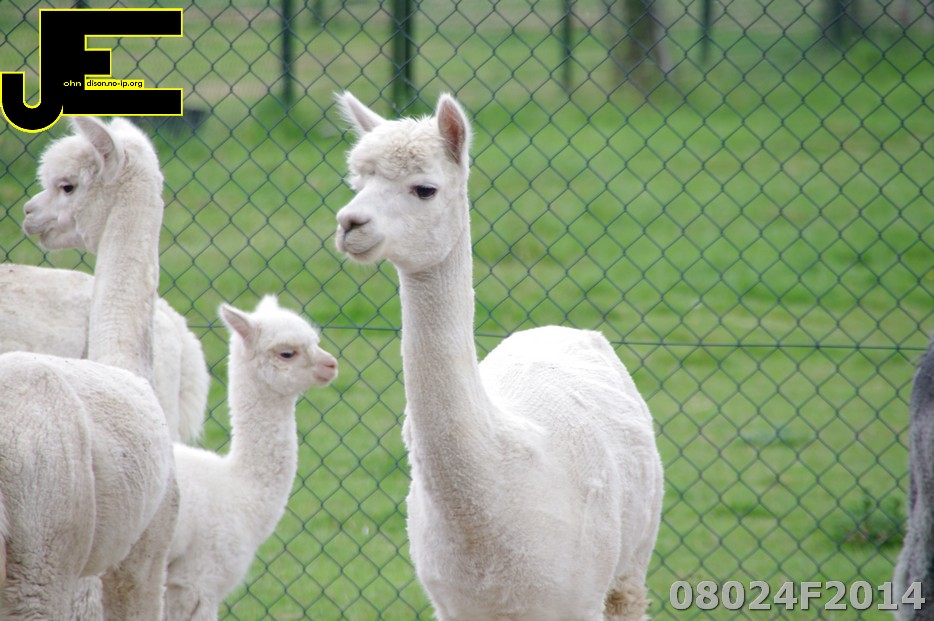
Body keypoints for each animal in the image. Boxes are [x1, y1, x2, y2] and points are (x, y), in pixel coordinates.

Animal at [0, 116, 177, 620]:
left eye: (67, 186)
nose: (29, 213)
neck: (127, 363)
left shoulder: (143, 548)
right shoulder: (144, 547)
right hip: (44, 535)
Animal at [333, 92, 664, 621]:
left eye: (424, 189)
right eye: (357, 184)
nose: (350, 224)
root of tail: (554, 328)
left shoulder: (577, 598)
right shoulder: (454, 605)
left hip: (630, 559)